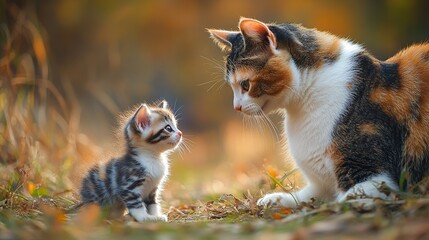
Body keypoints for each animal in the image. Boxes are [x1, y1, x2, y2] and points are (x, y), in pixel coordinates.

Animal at [208, 17, 428, 208]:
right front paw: (275, 199)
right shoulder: (320, 186)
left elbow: (347, 199)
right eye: (232, 86)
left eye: (245, 84)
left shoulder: (374, 177)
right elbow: (307, 195)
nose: (236, 106)